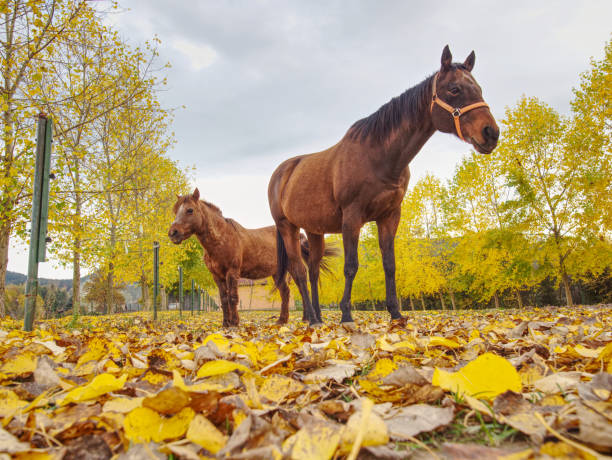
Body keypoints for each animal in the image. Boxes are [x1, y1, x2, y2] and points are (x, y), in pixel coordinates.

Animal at [170, 188, 338, 328]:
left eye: (190, 210)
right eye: (175, 210)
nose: (173, 233)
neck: (222, 238)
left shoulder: (232, 272)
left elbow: (232, 298)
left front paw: (234, 322)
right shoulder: (217, 276)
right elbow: (223, 299)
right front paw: (225, 323)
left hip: (292, 266)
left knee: (303, 288)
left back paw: (306, 318)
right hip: (277, 273)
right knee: (285, 293)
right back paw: (282, 320)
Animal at [268, 46, 498, 326]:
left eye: (479, 88)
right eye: (454, 89)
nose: (491, 133)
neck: (377, 155)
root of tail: (282, 172)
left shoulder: (389, 215)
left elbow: (390, 264)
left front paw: (395, 312)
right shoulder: (352, 217)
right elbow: (351, 265)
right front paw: (346, 313)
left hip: (314, 231)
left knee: (312, 272)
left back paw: (319, 317)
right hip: (287, 227)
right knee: (298, 271)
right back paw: (311, 318)